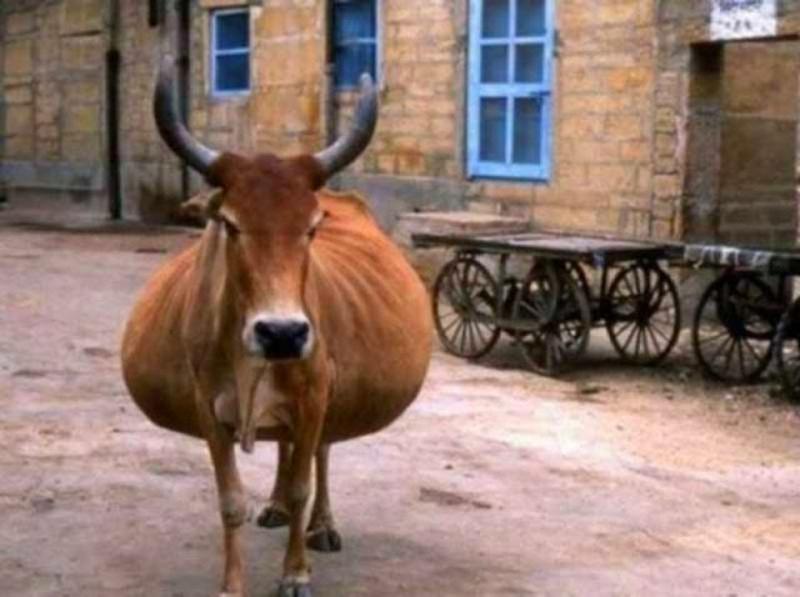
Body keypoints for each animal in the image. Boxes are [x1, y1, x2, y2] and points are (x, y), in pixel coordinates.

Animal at [120, 54, 433, 597]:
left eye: (312, 227)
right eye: (229, 223)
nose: (282, 333)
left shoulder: (315, 395)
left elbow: (306, 481)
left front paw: (295, 572)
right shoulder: (207, 408)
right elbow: (230, 501)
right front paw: (232, 584)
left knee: (320, 454)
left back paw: (321, 526)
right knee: (286, 451)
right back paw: (275, 504)